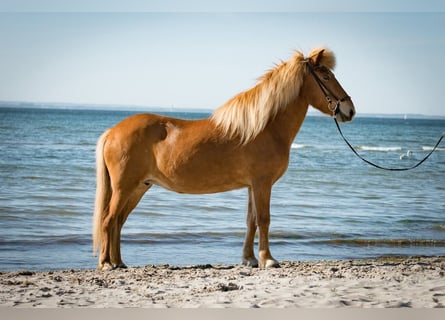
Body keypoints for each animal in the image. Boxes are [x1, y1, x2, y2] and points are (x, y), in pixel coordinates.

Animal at [93, 47, 354, 270]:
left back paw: (119, 262)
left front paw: (250, 259)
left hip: (139, 187)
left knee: (118, 221)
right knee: (109, 219)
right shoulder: (262, 184)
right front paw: (268, 260)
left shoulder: (252, 186)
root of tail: (113, 131)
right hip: (124, 187)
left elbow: (251, 221)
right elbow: (264, 219)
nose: (350, 110)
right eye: (326, 76)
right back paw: (106, 263)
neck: (265, 128)